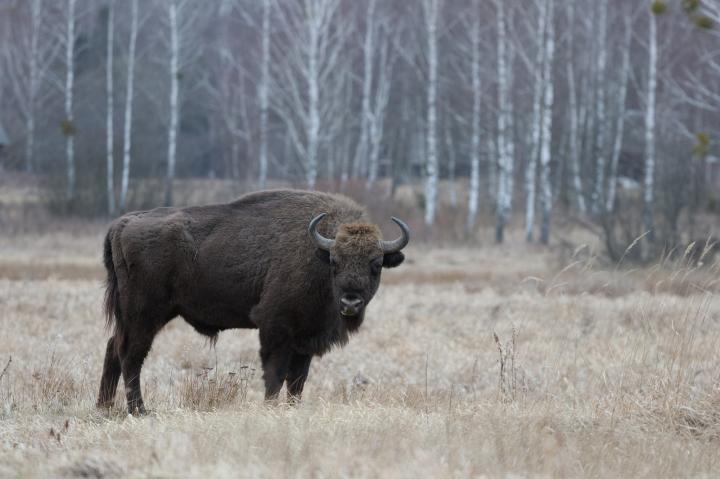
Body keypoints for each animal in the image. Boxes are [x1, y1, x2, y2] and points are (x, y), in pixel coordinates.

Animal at [97, 189, 409, 414]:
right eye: (335, 262)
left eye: (376, 264)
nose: (350, 303)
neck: (316, 253)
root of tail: (123, 223)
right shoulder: (275, 328)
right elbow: (276, 375)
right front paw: (269, 407)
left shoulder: (305, 339)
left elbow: (298, 380)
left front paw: (292, 409)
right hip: (145, 314)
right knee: (131, 355)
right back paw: (139, 410)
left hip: (133, 316)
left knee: (113, 348)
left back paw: (104, 406)